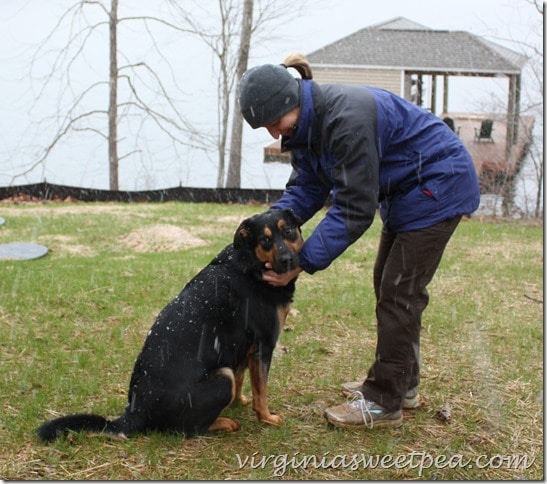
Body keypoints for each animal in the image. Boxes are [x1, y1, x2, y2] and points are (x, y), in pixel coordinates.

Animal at [37, 208, 304, 442]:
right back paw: (222, 423)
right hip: (221, 378)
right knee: (185, 429)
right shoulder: (263, 346)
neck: (250, 262)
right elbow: (262, 390)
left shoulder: (240, 348)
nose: (287, 260)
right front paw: (267, 417)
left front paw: (239, 402)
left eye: (289, 231)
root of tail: (136, 411)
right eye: (265, 240)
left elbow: (242, 379)